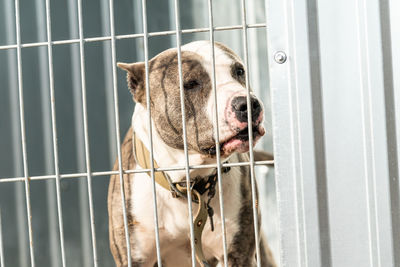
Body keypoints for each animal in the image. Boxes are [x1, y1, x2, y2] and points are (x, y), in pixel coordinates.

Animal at [108, 40, 276, 267]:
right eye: (191, 83)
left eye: (239, 71)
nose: (248, 104)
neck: (189, 181)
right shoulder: (134, 256)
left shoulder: (238, 253)